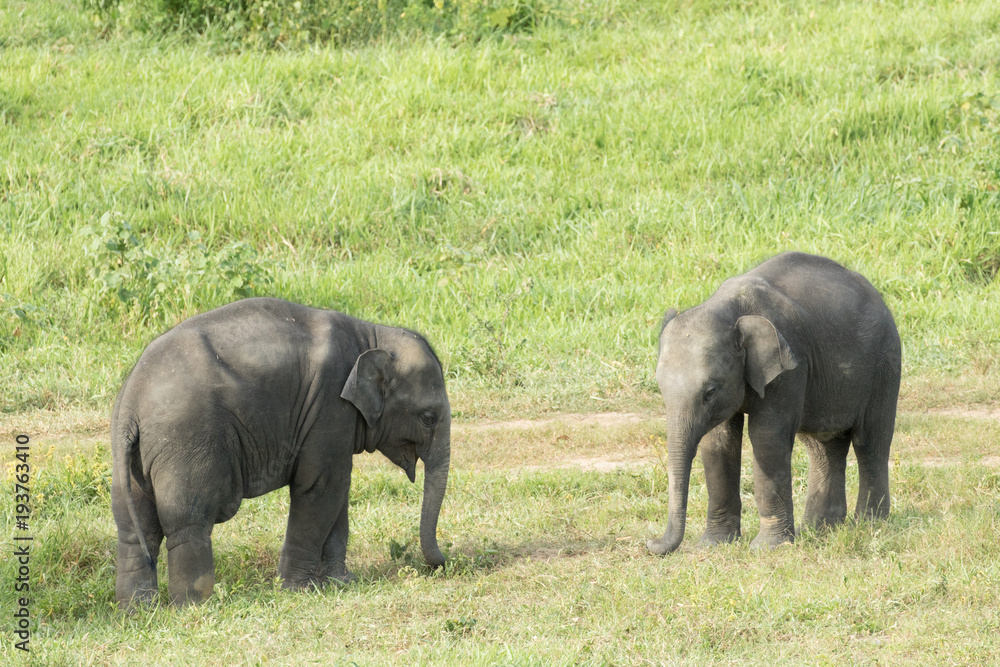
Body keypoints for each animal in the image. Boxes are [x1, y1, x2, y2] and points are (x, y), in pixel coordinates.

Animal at [111, 297, 451, 608]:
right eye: (428, 417)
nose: (443, 562)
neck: (372, 334)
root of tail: (131, 401)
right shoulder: (329, 407)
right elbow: (321, 487)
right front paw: (299, 590)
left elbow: (336, 491)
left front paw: (341, 582)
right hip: (186, 439)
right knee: (189, 520)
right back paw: (196, 606)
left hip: (131, 455)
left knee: (134, 528)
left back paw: (137, 609)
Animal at [647, 251, 901, 555]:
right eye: (661, 389)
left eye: (709, 392)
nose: (651, 543)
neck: (729, 309)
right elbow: (718, 442)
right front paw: (713, 544)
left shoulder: (789, 366)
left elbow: (767, 438)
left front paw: (767, 548)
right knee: (822, 446)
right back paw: (818, 531)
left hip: (885, 364)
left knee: (870, 441)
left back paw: (869, 526)